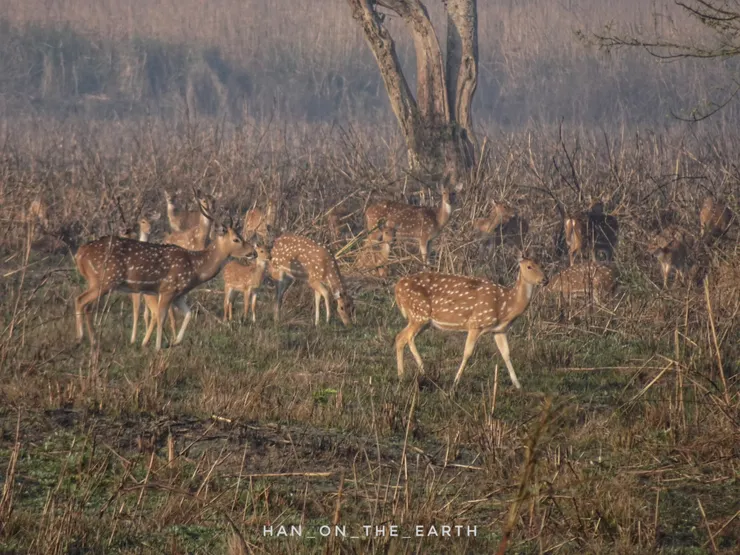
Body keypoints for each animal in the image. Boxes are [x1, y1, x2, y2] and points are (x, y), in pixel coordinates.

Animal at [75, 220, 252, 351]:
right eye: (236, 239)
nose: (253, 252)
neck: (195, 268)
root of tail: (80, 253)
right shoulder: (168, 289)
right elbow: (161, 316)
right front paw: (158, 346)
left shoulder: (178, 294)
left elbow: (188, 314)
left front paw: (175, 341)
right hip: (105, 280)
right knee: (81, 300)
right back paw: (82, 338)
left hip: (97, 281)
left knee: (85, 303)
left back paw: (91, 340)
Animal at [394, 255, 547, 390]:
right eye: (529, 266)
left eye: (541, 265)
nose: (545, 279)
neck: (506, 306)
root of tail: (397, 288)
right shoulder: (476, 323)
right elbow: (467, 353)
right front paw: (455, 382)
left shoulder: (499, 330)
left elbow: (506, 354)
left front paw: (518, 385)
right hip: (419, 314)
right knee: (407, 337)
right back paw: (422, 371)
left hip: (422, 320)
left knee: (400, 337)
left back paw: (402, 375)